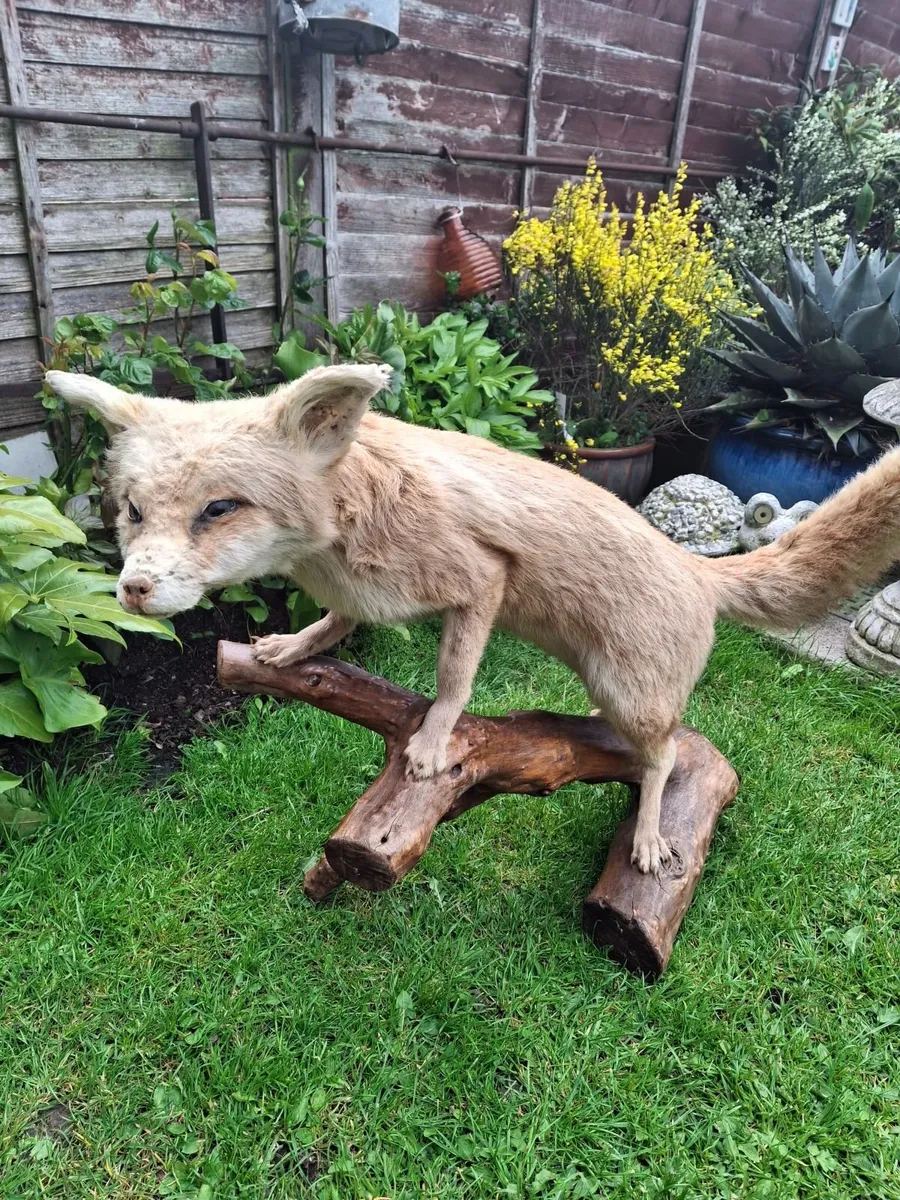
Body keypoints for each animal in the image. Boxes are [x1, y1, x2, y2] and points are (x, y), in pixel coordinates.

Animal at [46, 364, 900, 874]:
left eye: (219, 510)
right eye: (132, 511)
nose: (132, 590)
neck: (346, 524)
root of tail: (697, 567)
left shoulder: (480, 581)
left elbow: (454, 679)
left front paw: (430, 744)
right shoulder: (357, 593)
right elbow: (335, 626)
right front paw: (291, 647)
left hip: (632, 691)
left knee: (664, 757)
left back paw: (653, 835)